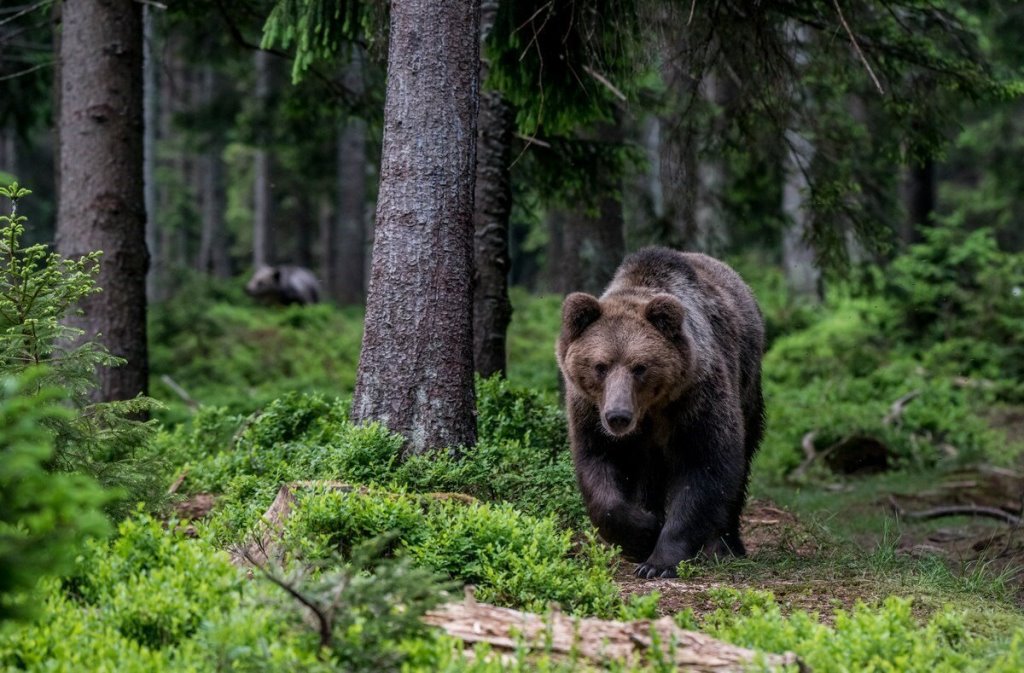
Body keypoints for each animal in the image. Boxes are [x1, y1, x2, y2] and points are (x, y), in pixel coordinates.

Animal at [557, 246, 765, 577]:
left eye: (640, 367)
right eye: (600, 366)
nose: (618, 416)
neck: (650, 411)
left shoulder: (696, 400)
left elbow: (706, 465)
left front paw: (658, 562)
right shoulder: (590, 411)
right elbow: (598, 468)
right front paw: (643, 532)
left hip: (747, 386)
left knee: (742, 461)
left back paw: (726, 545)